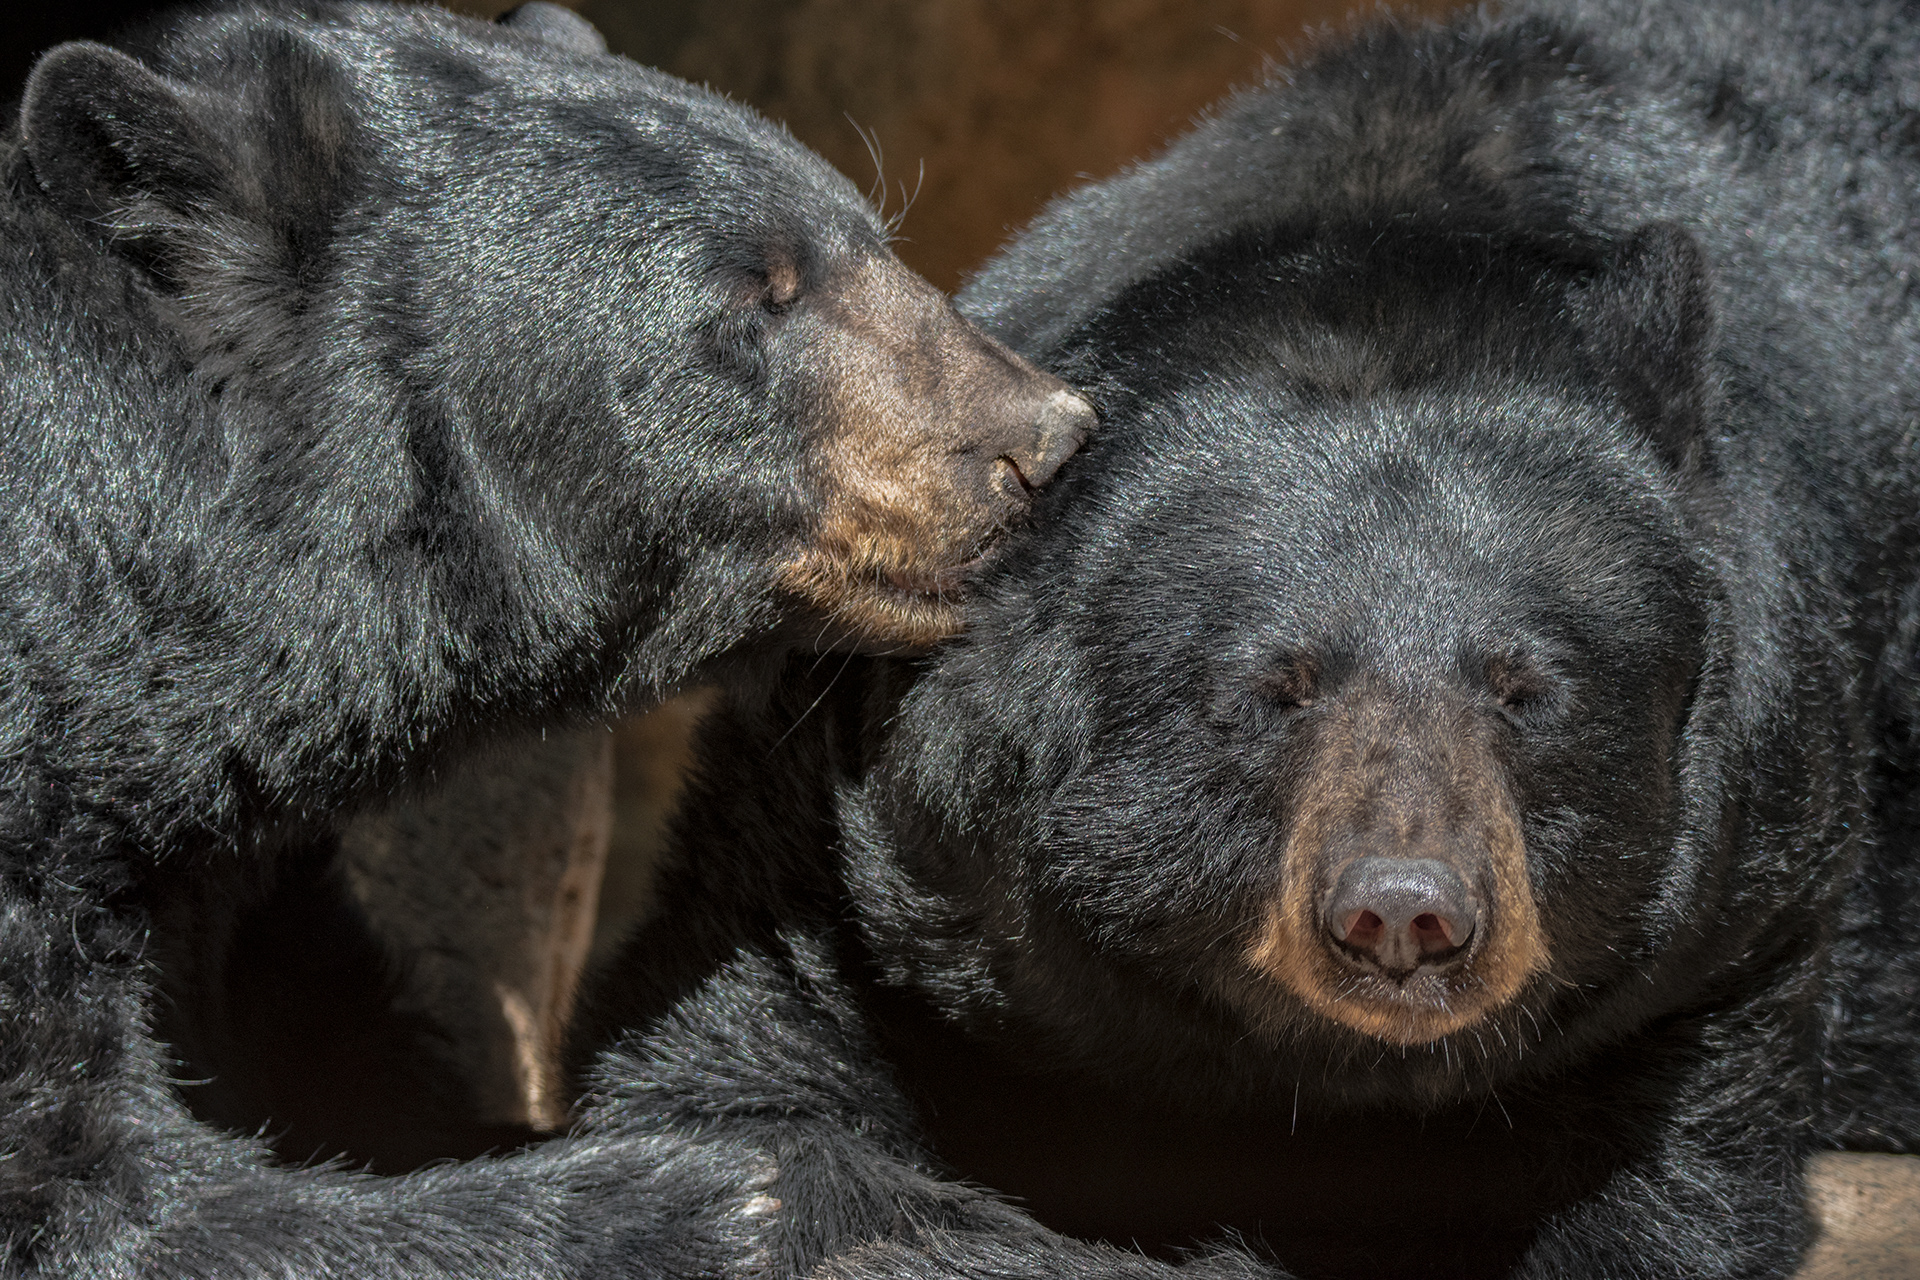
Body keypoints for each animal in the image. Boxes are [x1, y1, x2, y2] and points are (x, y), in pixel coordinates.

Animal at [571, 1, 1920, 1277]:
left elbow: (1651, 1186)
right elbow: (733, 1077)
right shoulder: (849, 827)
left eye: (1527, 688)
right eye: (1275, 688)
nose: (1404, 910)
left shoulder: (1739, 909)